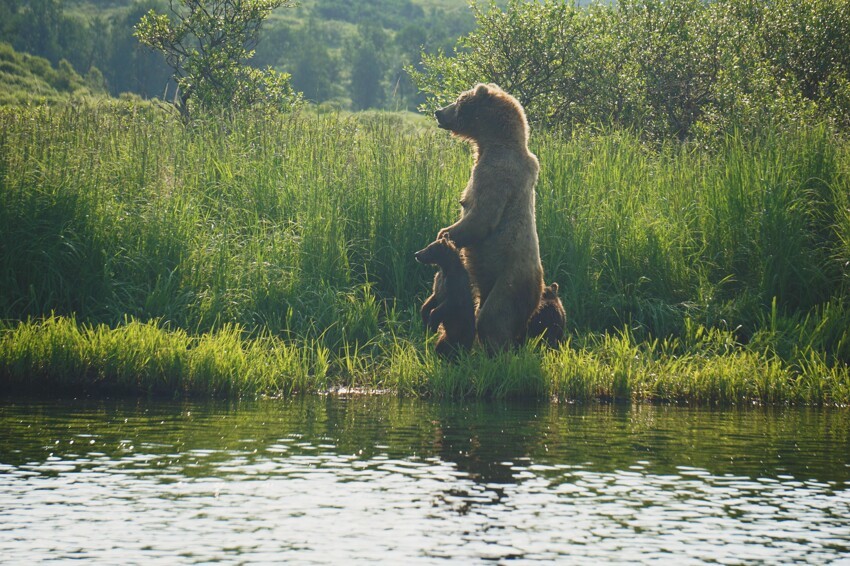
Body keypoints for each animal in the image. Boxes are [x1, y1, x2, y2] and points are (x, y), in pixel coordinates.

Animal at [430, 82, 544, 352]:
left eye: (458, 100)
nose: (439, 112)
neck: (490, 143)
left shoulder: (496, 172)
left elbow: (482, 217)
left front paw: (445, 235)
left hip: (512, 278)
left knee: (494, 316)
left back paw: (496, 348)